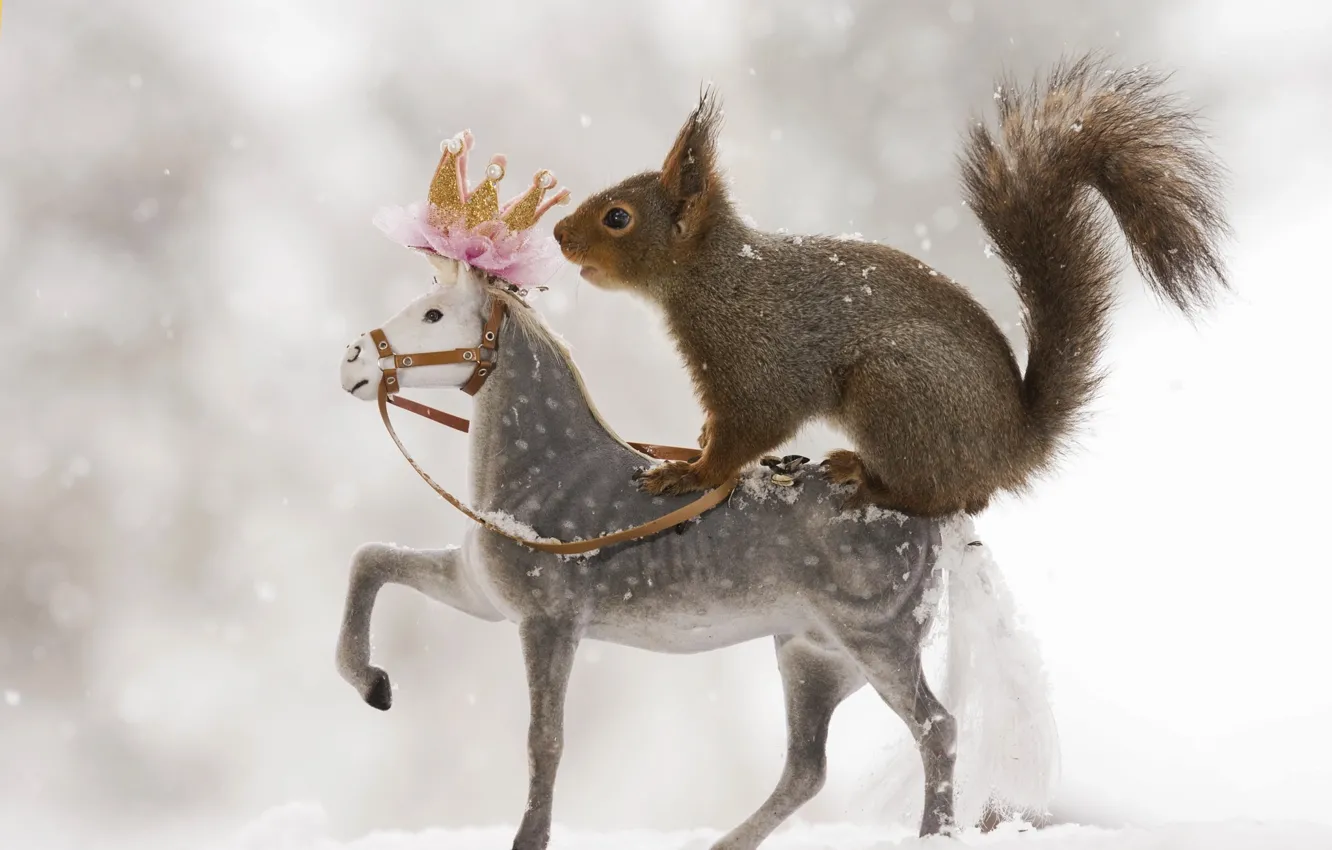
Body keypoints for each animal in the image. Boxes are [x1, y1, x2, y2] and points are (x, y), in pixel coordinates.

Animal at [335, 255, 1058, 850]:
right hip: (814, 659)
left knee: (935, 729)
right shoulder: (479, 594)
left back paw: (933, 836)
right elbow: (371, 560)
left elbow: (546, 740)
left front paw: (528, 840)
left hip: (878, 644)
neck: (542, 472)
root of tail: (929, 517)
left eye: (434, 314)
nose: (352, 361)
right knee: (806, 769)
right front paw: (373, 685)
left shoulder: (548, 625)